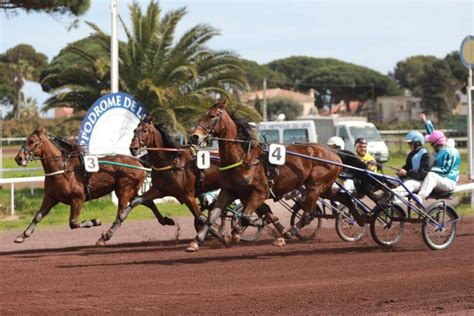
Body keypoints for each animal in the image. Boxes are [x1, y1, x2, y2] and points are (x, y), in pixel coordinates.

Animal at [13, 128, 174, 244]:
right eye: (25, 140)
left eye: (32, 141)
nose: (18, 158)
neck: (63, 169)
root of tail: (139, 162)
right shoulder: (51, 197)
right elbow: (38, 216)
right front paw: (23, 235)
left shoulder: (77, 199)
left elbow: (73, 223)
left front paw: (94, 221)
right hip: (132, 191)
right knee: (147, 202)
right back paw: (166, 220)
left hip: (124, 190)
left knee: (122, 213)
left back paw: (106, 236)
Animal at [189, 100, 344, 251]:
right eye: (202, 116)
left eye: (212, 116)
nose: (194, 137)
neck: (243, 159)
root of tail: (334, 154)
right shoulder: (229, 191)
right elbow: (212, 216)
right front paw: (196, 241)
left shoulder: (260, 192)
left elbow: (246, 216)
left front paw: (237, 232)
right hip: (324, 187)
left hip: (315, 186)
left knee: (308, 215)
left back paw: (284, 237)